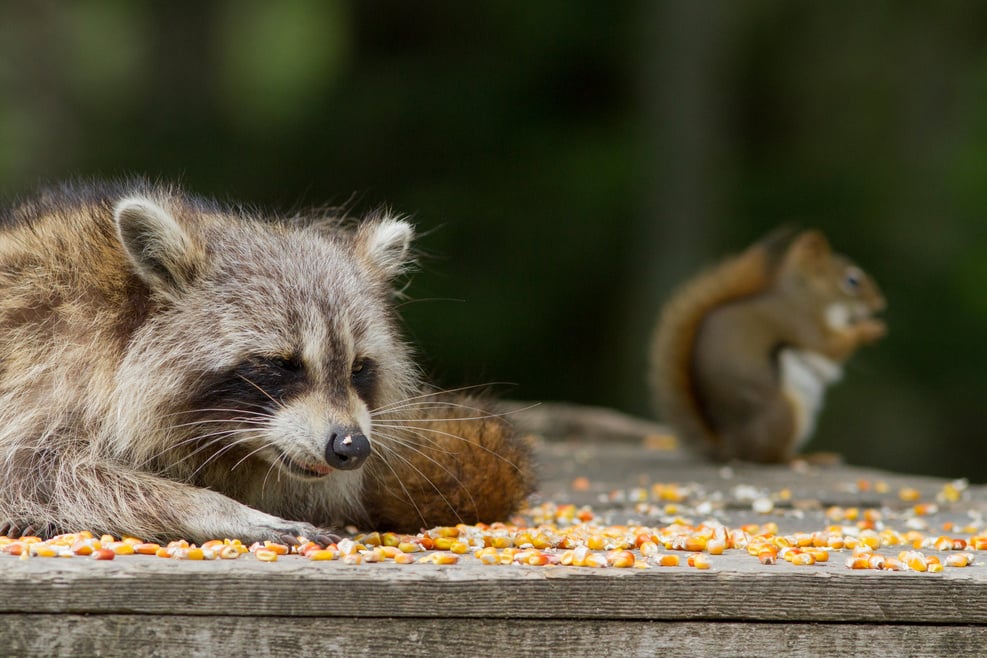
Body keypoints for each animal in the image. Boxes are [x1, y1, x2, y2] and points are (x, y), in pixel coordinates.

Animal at [0, 181, 534, 544]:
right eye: (283, 364)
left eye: (358, 368)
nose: (352, 447)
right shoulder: (44, 365)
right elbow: (36, 474)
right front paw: (213, 508)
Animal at [649, 228, 886, 463]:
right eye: (852, 281)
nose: (880, 302)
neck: (806, 295)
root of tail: (731, 446)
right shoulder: (800, 322)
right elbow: (829, 346)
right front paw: (868, 329)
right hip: (783, 413)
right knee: (769, 456)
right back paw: (805, 458)